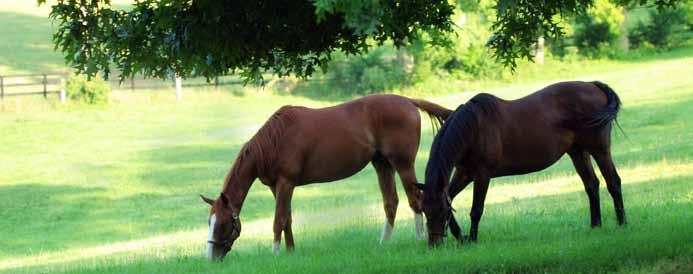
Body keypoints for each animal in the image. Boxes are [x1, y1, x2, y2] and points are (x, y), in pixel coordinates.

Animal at [200, 93, 452, 260]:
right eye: (210, 222)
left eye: (223, 223)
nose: (210, 257)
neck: (274, 141)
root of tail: (408, 101)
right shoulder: (277, 187)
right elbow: (287, 219)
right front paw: (290, 252)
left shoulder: (286, 183)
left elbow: (278, 220)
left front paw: (275, 254)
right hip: (382, 164)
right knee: (391, 203)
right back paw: (383, 243)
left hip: (402, 164)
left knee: (415, 200)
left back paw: (419, 239)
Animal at [418, 81, 624, 246]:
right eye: (424, 210)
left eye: (441, 212)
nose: (434, 244)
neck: (473, 129)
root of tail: (593, 85)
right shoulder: (464, 173)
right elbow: (451, 198)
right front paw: (462, 237)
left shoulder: (482, 174)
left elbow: (476, 209)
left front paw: (473, 239)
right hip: (578, 152)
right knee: (591, 185)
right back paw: (595, 226)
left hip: (600, 149)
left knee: (613, 182)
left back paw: (622, 224)